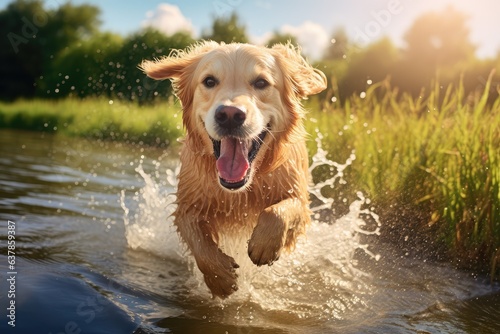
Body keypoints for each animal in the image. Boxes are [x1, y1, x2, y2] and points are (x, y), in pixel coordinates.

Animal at [141, 41, 328, 298]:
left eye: (261, 82)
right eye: (209, 81)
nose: (229, 114)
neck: (241, 190)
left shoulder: (299, 198)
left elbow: (280, 210)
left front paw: (264, 245)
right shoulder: (188, 203)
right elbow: (196, 236)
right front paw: (220, 278)